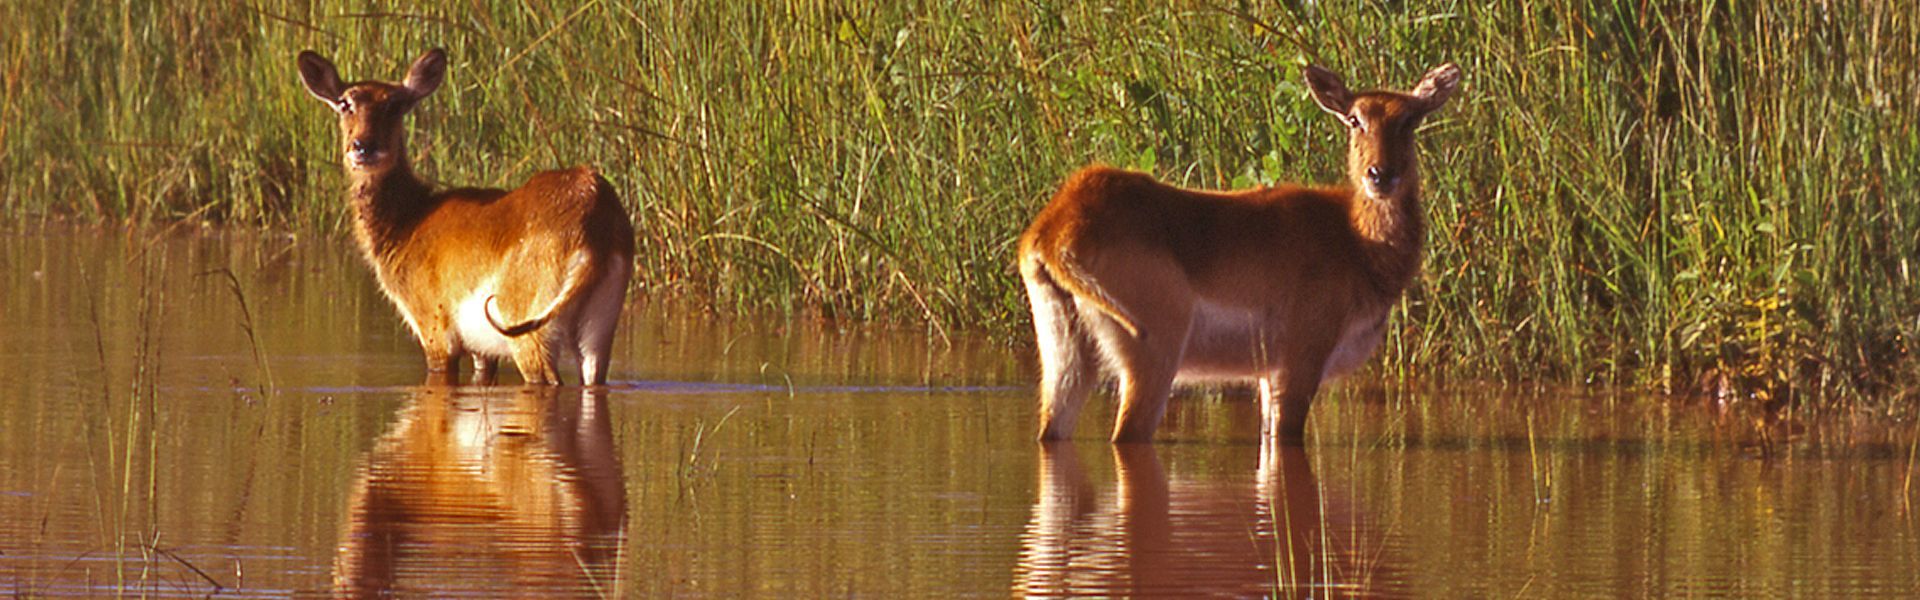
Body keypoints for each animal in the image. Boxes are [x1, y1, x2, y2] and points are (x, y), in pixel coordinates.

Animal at [297, 48, 635, 385]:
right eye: (345, 103)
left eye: (395, 104)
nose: (364, 147)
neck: (409, 220)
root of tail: (594, 221)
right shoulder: (480, 350)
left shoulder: (434, 331)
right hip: (597, 330)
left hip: (529, 332)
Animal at [1018, 63, 1461, 443]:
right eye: (1355, 118)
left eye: (1410, 119)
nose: (1381, 175)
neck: (1356, 240)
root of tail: (1054, 230)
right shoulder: (1301, 359)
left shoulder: (1267, 373)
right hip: (1153, 353)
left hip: (1065, 356)